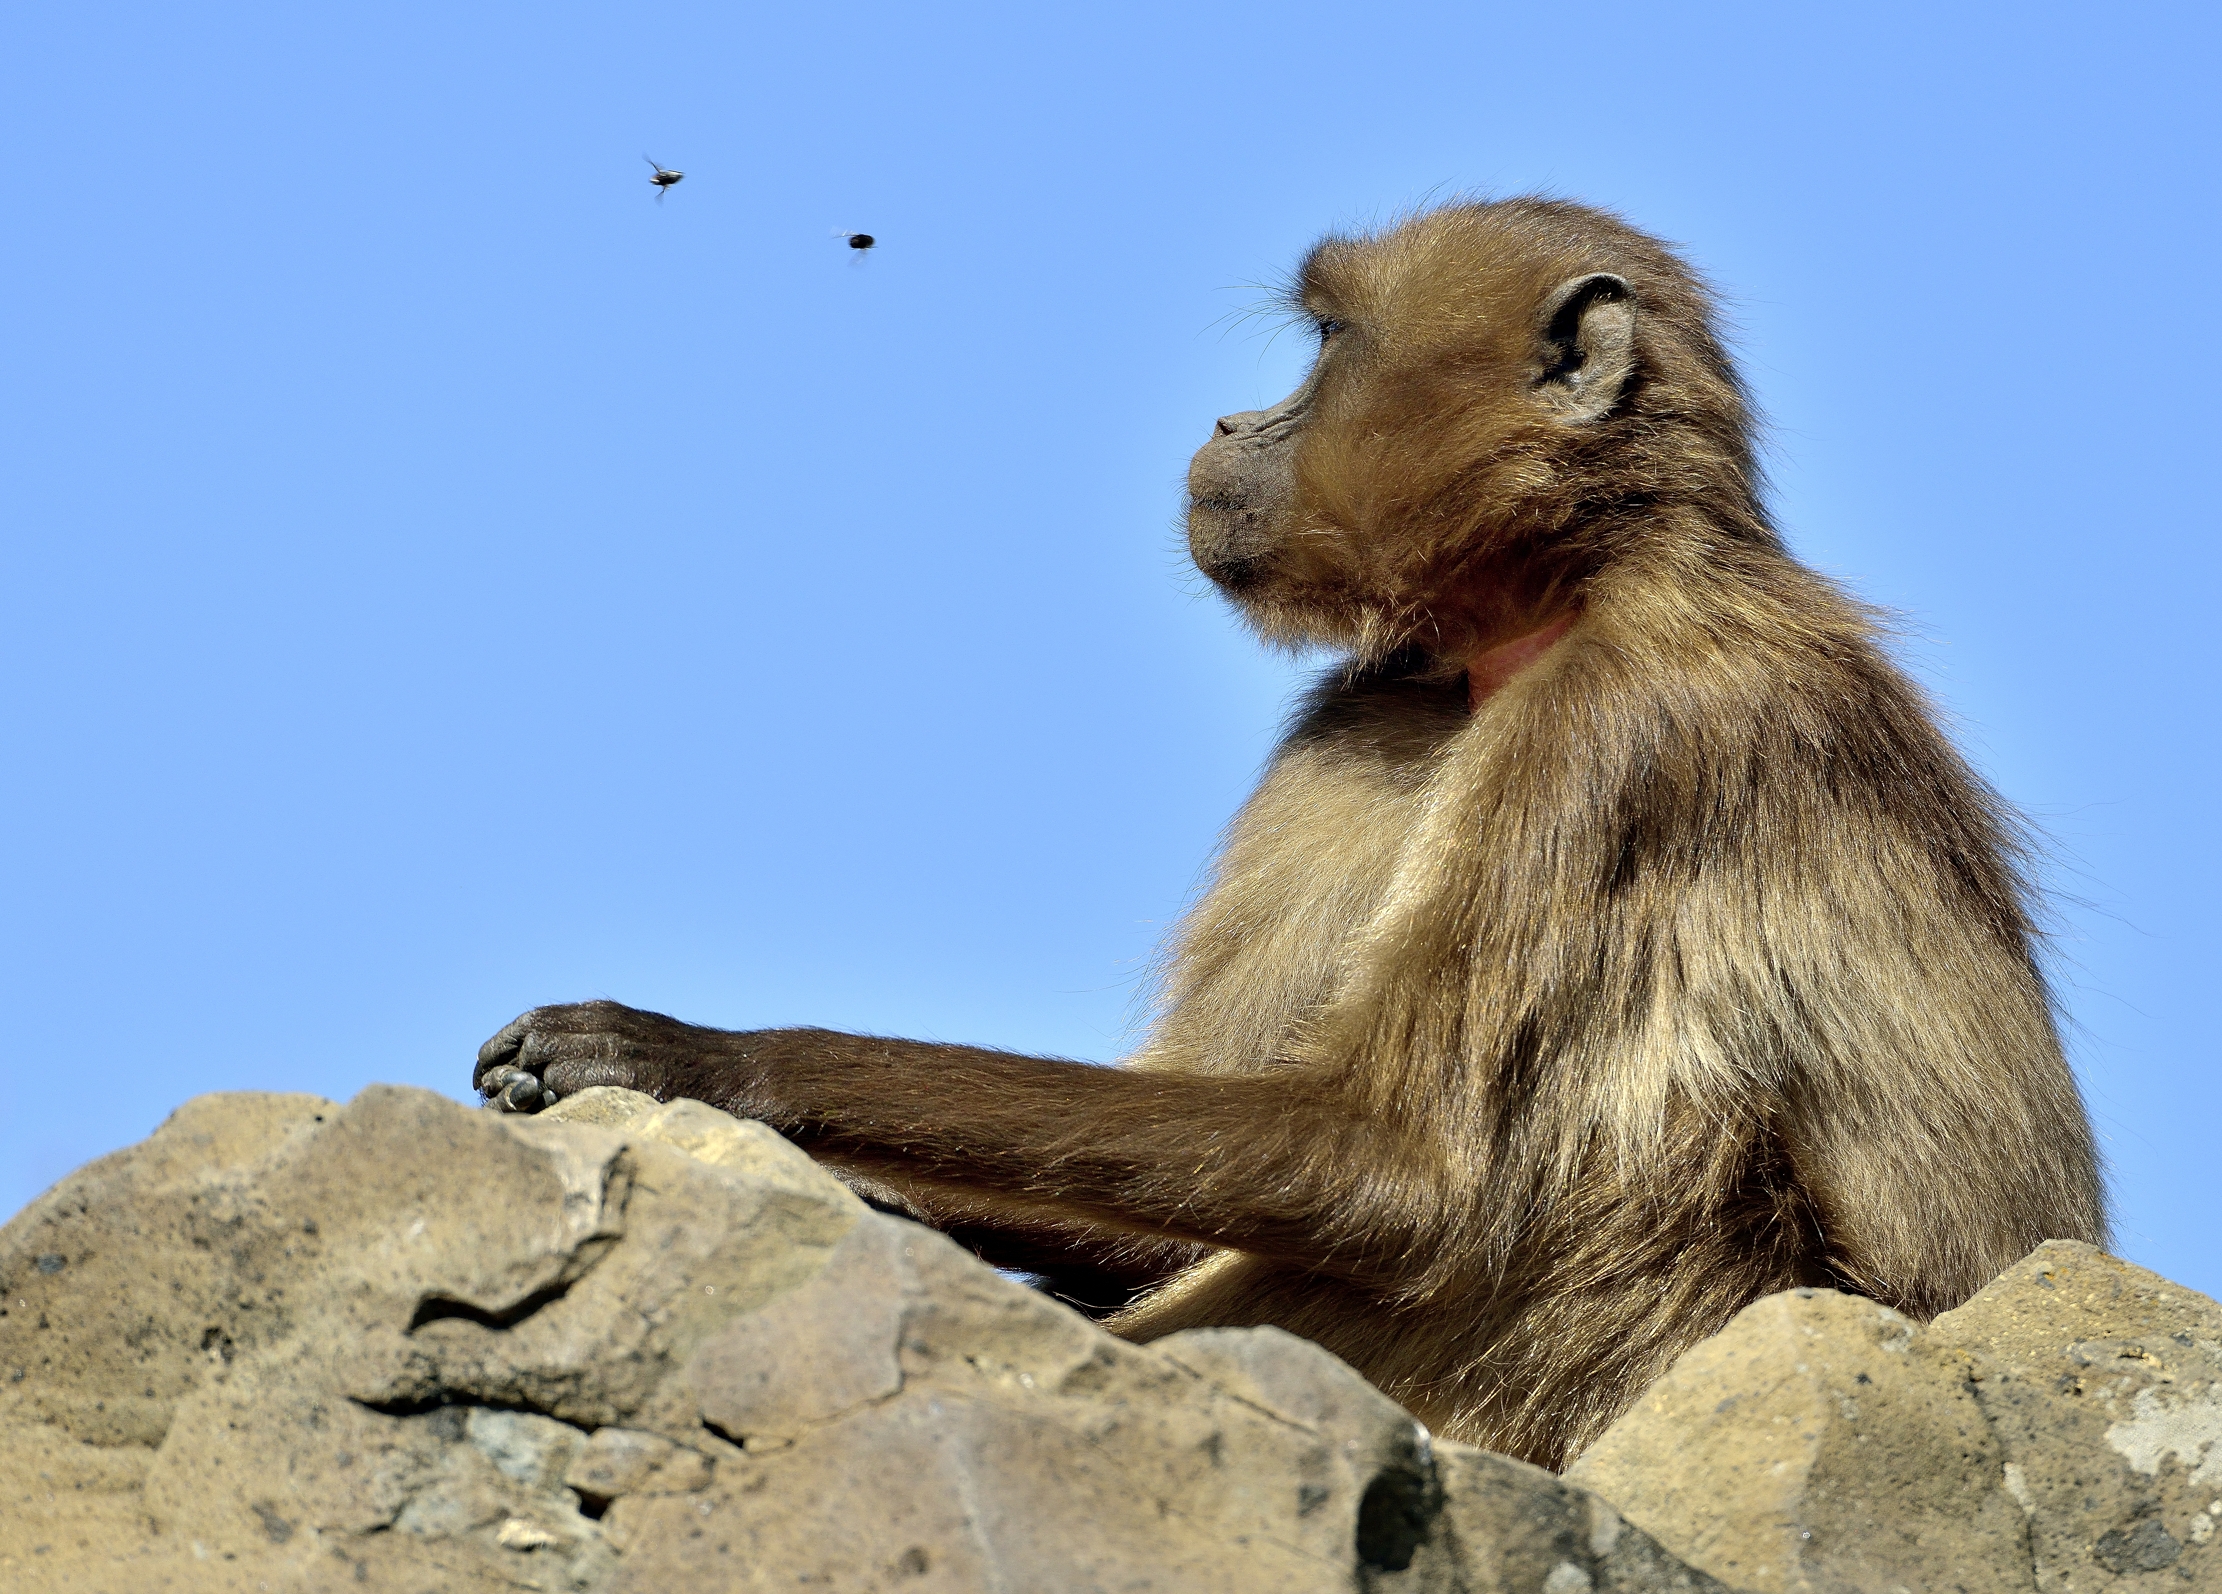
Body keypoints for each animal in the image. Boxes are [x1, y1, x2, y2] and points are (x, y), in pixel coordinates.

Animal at [475, 198, 2107, 1470]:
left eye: (1323, 342)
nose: (1225, 425)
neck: (1569, 585)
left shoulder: (1623, 732)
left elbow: (1396, 1170)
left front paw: (710, 1059)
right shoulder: (1368, 712)